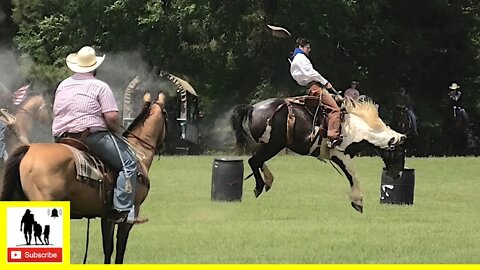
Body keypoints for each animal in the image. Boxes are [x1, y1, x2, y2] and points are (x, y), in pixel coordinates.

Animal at [0, 93, 167, 264]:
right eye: (166, 115)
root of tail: (28, 150)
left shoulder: (107, 218)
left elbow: (108, 249)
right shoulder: (128, 218)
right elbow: (120, 250)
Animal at [231, 96, 406, 212]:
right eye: (399, 152)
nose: (398, 174)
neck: (356, 130)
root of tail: (253, 108)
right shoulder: (340, 155)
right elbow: (353, 176)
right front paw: (358, 201)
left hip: (268, 145)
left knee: (257, 160)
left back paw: (268, 180)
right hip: (273, 145)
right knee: (254, 161)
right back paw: (260, 186)